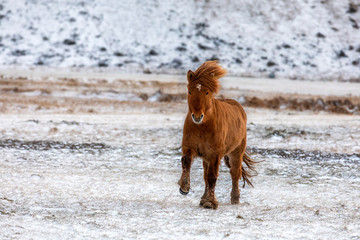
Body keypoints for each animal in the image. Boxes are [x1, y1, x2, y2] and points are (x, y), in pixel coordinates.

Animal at [177, 60, 256, 210]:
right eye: (190, 91)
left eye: (207, 92)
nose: (197, 116)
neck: (202, 126)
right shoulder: (189, 147)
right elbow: (186, 162)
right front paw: (184, 187)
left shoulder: (215, 154)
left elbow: (212, 177)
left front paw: (210, 202)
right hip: (206, 157)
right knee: (205, 176)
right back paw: (203, 198)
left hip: (236, 153)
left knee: (235, 174)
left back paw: (235, 199)